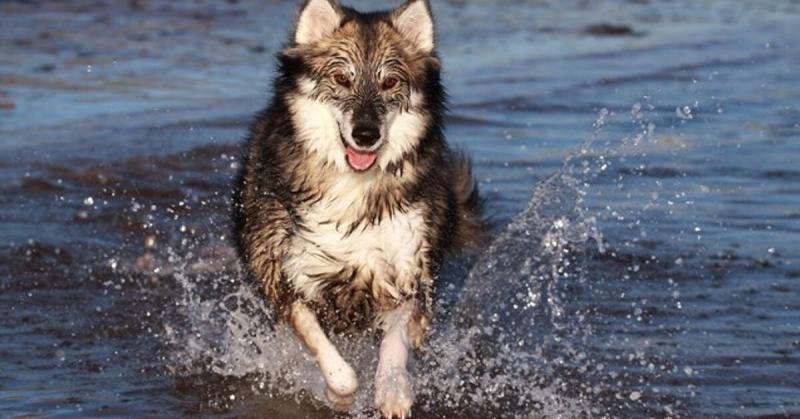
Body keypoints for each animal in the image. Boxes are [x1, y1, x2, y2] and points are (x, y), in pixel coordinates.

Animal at [230, 0, 482, 416]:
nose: (366, 135)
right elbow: (327, 355)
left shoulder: (407, 272)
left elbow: (396, 343)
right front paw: (339, 392)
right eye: (341, 79)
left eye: (390, 83)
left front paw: (394, 389)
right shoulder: (286, 279)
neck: (353, 188)